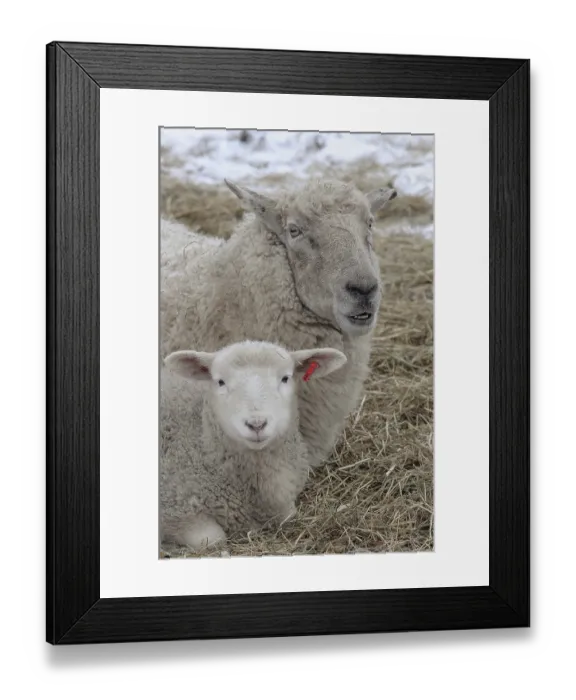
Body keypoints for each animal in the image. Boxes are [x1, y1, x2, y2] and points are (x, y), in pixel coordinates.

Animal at [160, 340, 347, 550]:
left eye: (285, 378)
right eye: (220, 381)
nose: (256, 424)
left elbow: (289, 515)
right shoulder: (173, 509)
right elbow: (212, 538)